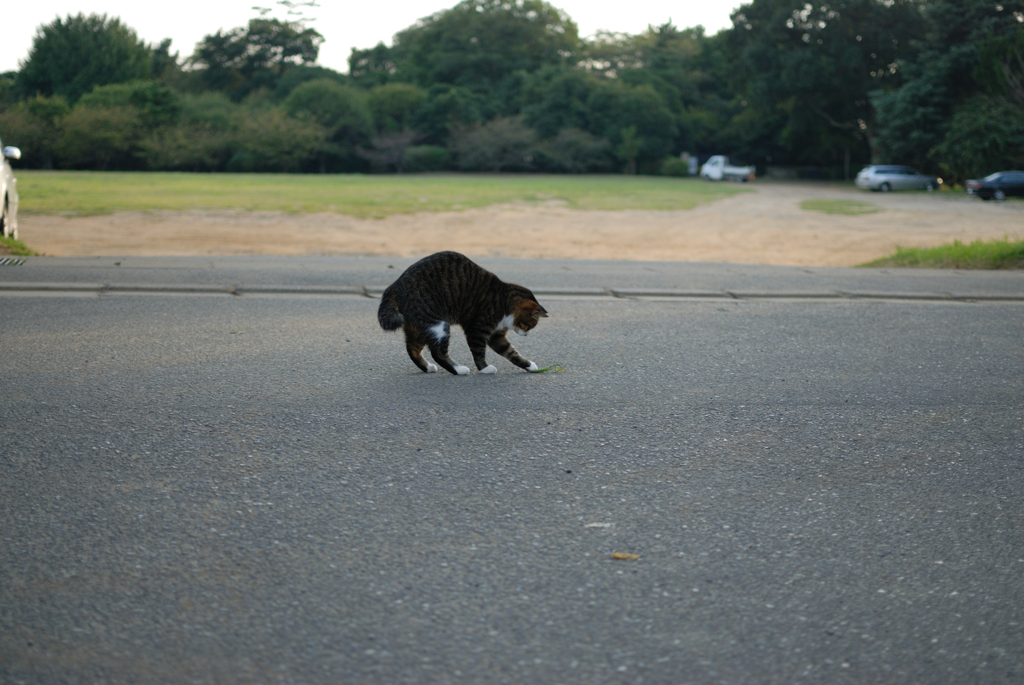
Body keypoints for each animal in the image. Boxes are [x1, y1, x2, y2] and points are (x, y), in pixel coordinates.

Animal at [376, 250, 548, 374]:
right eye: (528, 325)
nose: (526, 335)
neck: (503, 301)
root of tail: (395, 286)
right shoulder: (477, 329)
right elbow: (478, 351)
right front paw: (484, 368)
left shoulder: (496, 335)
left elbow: (510, 352)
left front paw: (528, 365)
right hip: (437, 324)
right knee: (438, 353)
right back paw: (459, 370)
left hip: (418, 326)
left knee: (412, 348)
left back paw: (427, 367)